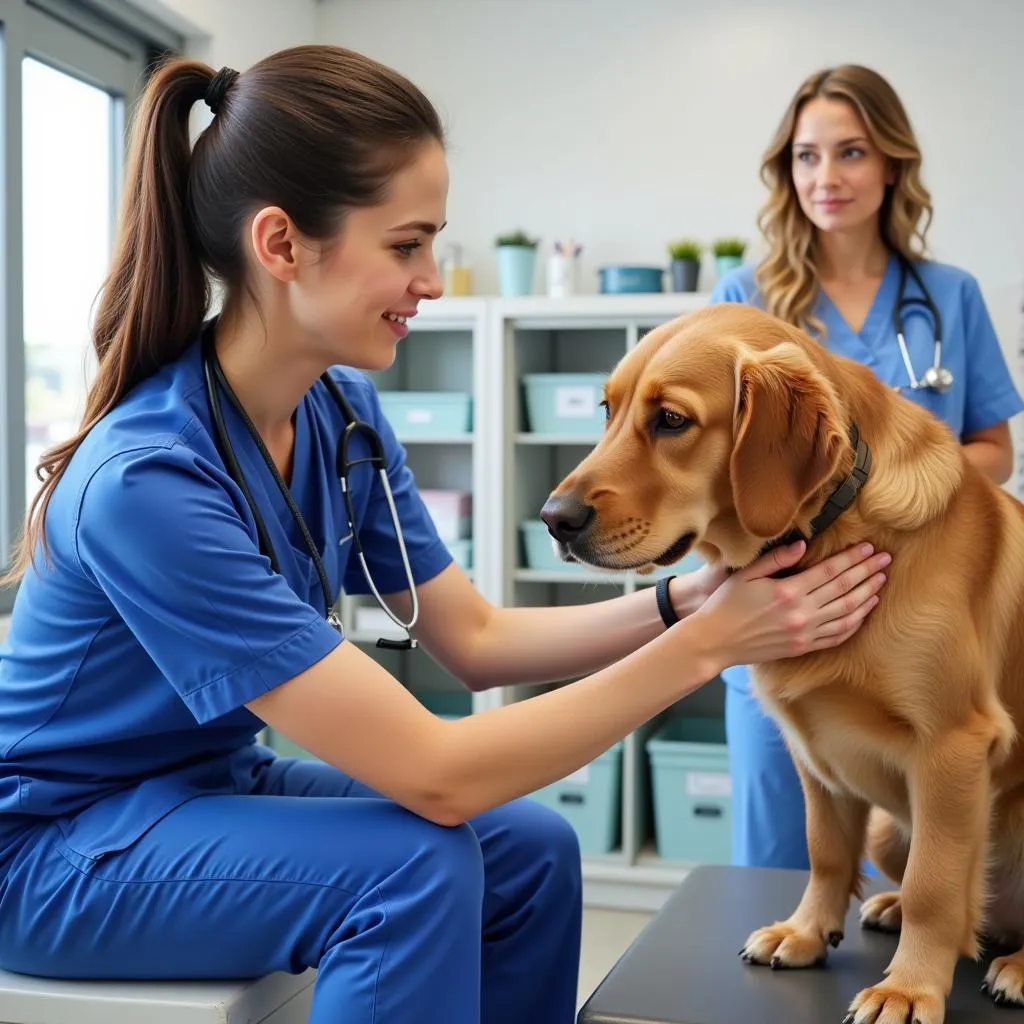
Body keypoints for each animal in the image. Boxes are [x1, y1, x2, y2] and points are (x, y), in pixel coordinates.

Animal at [540, 303, 1024, 1024]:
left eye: (671, 420)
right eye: (607, 409)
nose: (554, 519)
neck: (831, 528)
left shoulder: (954, 745)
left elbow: (937, 886)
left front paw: (909, 988)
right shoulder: (813, 746)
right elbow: (824, 851)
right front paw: (806, 932)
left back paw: (1013, 965)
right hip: (887, 831)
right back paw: (891, 905)